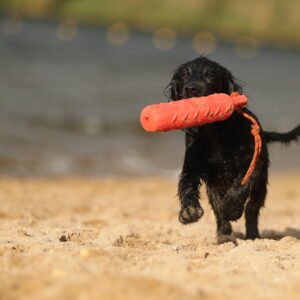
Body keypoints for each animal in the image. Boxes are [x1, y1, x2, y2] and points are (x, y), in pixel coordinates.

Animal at [165, 55, 298, 239]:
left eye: (210, 75)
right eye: (184, 75)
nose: (191, 89)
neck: (214, 132)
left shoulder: (249, 163)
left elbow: (240, 187)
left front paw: (231, 209)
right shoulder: (193, 167)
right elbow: (187, 186)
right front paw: (189, 210)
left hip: (261, 182)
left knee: (252, 209)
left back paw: (252, 235)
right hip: (214, 187)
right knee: (218, 208)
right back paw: (223, 234)